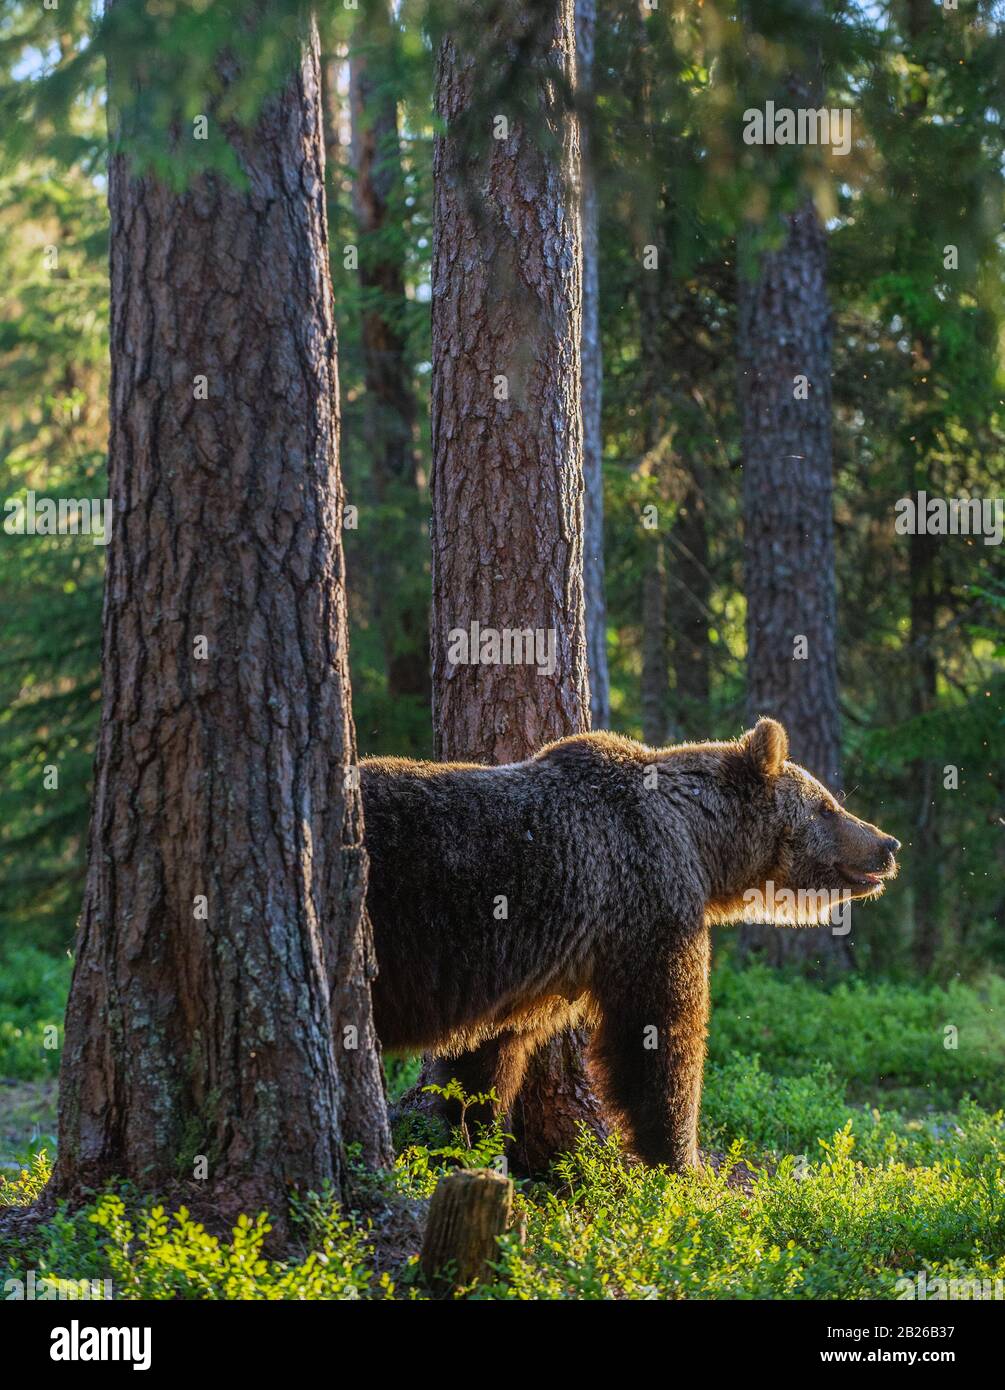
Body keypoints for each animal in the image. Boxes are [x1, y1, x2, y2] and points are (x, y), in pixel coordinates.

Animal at [364, 722, 906, 1167]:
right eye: (827, 807)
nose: (888, 843)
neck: (700, 845)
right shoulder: (646, 902)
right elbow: (659, 1036)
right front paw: (682, 1159)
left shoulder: (521, 968)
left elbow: (486, 1057)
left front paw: (473, 1137)